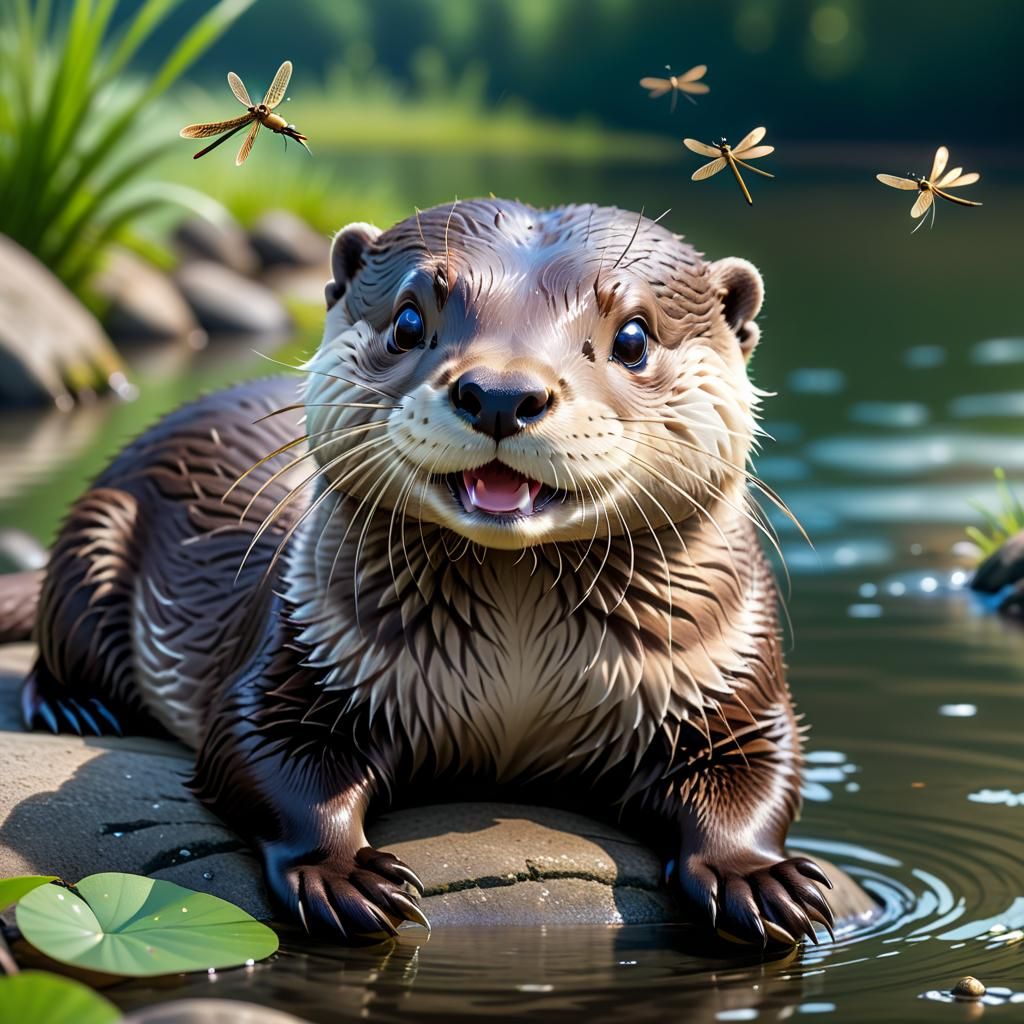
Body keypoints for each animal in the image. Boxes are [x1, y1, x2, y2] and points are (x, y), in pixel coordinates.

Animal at [5, 199, 833, 946]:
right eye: (408, 320)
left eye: (633, 336)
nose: (500, 392)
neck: (518, 679)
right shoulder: (300, 647)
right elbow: (260, 752)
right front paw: (341, 872)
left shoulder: (728, 674)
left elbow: (763, 770)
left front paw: (756, 876)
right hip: (97, 531)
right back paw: (77, 707)